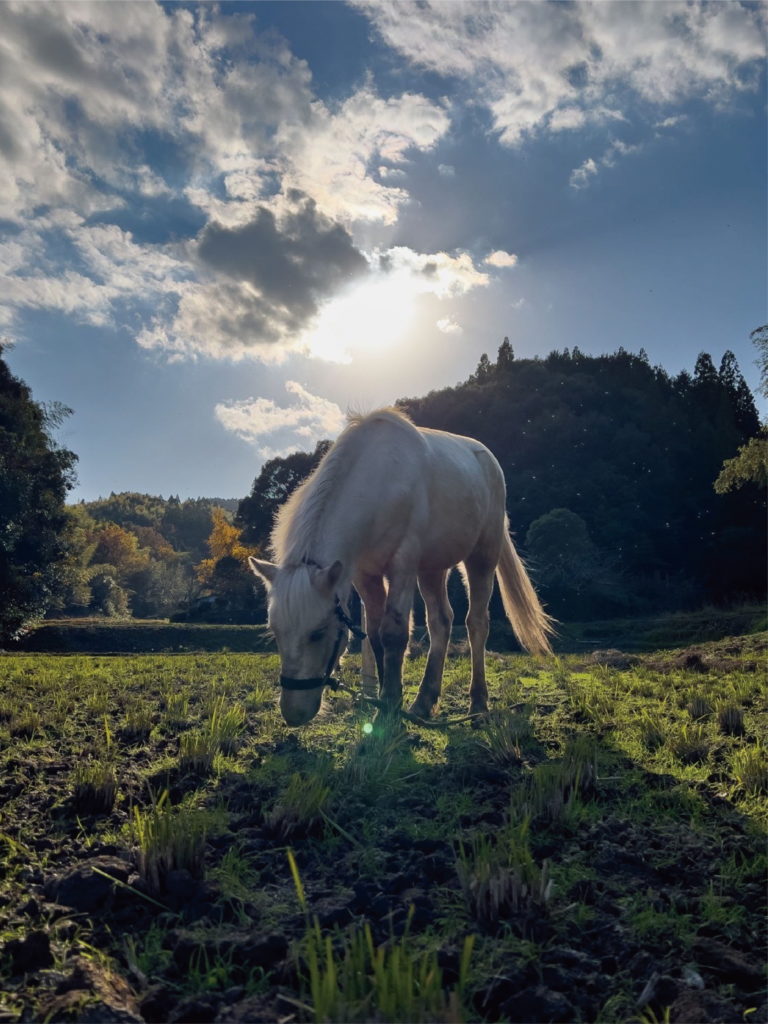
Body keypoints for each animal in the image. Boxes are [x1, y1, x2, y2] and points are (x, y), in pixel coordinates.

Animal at [249, 407, 557, 729]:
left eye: (318, 632)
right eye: (275, 631)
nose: (293, 713)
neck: (379, 481)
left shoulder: (403, 564)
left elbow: (394, 633)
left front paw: (389, 705)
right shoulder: (365, 575)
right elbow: (375, 634)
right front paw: (387, 703)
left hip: (482, 557)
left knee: (476, 623)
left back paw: (478, 703)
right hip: (432, 569)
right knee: (441, 622)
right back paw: (424, 701)